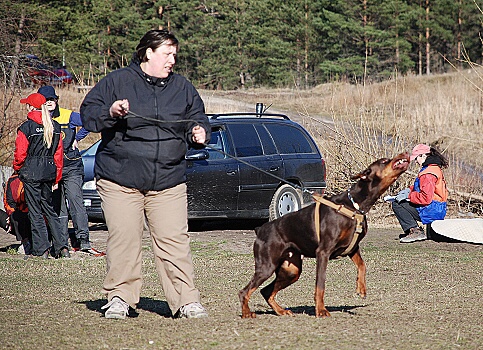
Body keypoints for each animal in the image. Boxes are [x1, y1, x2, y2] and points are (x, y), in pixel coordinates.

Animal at [240, 152, 410, 318]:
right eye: (384, 161)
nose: (406, 153)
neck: (354, 205)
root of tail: (260, 230)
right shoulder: (323, 252)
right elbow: (320, 285)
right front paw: (321, 310)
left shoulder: (352, 247)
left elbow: (362, 265)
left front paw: (361, 288)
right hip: (267, 265)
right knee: (244, 291)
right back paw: (247, 313)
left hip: (291, 270)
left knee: (266, 291)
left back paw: (280, 311)